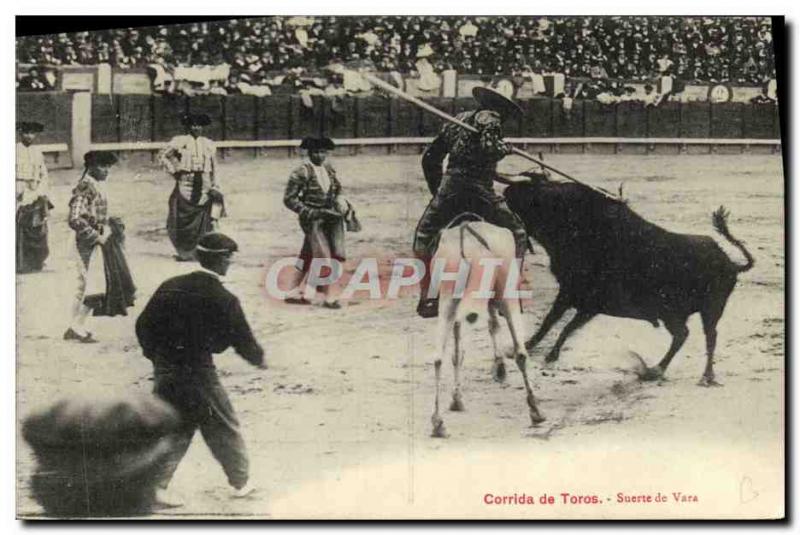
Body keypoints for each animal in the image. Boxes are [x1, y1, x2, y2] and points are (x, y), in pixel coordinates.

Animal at [428, 220, 548, 438]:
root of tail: (466, 240)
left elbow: (459, 350)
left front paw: (456, 399)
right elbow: (505, 338)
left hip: (448, 299)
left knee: (439, 356)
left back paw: (438, 422)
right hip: (503, 295)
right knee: (519, 351)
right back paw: (535, 410)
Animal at [506, 176, 756, 386]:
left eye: (546, 197)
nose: (510, 189)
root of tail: (730, 263)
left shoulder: (573, 295)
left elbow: (553, 321)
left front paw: (535, 350)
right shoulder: (586, 304)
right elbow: (563, 325)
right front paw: (541, 352)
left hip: (702, 311)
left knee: (702, 337)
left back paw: (697, 375)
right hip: (684, 314)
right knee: (687, 335)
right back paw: (661, 370)